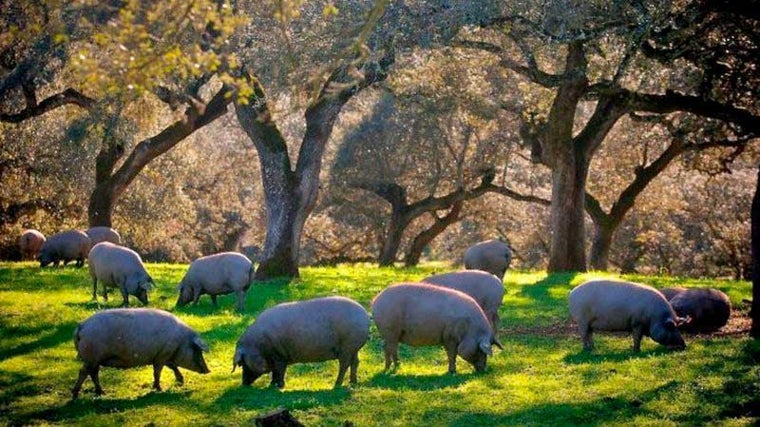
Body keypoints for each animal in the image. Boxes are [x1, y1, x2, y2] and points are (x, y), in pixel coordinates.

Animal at [71, 310, 211, 400]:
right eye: (197, 350)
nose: (208, 371)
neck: (181, 342)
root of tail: (82, 326)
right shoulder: (162, 355)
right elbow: (157, 372)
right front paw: (159, 389)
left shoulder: (164, 355)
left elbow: (173, 367)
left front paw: (180, 381)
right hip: (92, 357)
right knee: (83, 372)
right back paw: (75, 395)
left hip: (95, 359)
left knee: (93, 373)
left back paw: (101, 392)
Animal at [235, 296, 372, 390]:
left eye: (242, 363)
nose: (243, 384)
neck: (259, 346)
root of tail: (365, 314)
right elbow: (275, 372)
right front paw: (272, 385)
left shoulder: (279, 355)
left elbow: (279, 370)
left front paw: (278, 386)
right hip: (354, 347)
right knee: (355, 362)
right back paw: (353, 382)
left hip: (347, 346)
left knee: (344, 364)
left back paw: (337, 384)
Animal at [372, 284, 502, 374]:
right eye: (480, 351)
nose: (483, 370)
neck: (470, 329)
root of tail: (375, 301)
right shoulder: (450, 337)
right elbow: (452, 354)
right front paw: (452, 372)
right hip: (390, 330)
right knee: (392, 348)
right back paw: (398, 366)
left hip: (388, 333)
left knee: (385, 347)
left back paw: (387, 368)